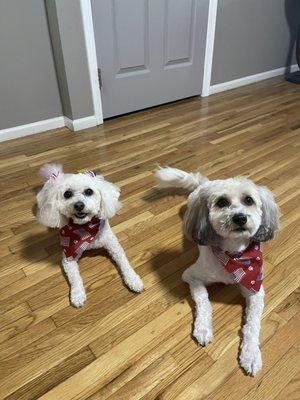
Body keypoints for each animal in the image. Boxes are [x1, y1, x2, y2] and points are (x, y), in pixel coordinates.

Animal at [36, 164, 144, 308]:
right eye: (67, 194)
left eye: (89, 191)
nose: (79, 205)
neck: (85, 228)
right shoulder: (68, 256)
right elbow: (75, 278)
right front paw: (77, 295)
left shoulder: (114, 247)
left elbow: (125, 264)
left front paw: (133, 280)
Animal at [155, 166, 278, 376]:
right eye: (222, 202)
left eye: (248, 200)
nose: (240, 217)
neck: (234, 256)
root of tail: (205, 184)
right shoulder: (191, 276)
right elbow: (204, 301)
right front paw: (203, 328)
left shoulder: (255, 287)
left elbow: (252, 325)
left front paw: (251, 354)